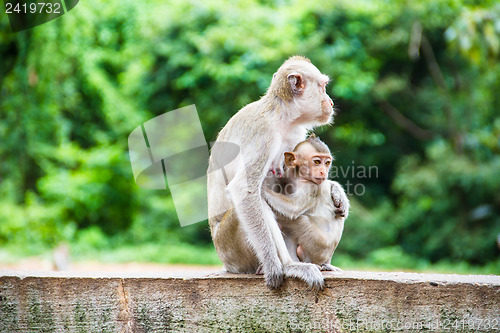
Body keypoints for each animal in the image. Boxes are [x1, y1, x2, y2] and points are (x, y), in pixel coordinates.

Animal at [207, 55, 336, 288]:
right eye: (322, 87)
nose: (330, 102)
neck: (281, 116)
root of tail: (227, 265)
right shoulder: (263, 134)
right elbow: (244, 190)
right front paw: (274, 266)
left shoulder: (295, 134)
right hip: (231, 248)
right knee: (255, 201)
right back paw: (286, 265)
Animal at [264, 134, 350, 270]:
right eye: (317, 162)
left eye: (327, 163)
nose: (323, 171)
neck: (299, 177)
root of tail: (326, 260)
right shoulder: (286, 176)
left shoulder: (312, 188)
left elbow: (293, 208)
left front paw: (261, 189)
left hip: (318, 246)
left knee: (298, 220)